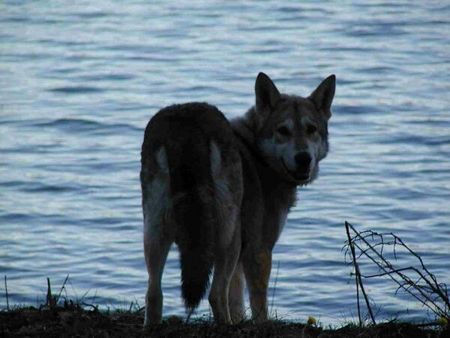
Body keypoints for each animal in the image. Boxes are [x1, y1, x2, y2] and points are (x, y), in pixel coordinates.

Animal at [140, 72, 334, 326]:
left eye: (311, 129)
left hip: (156, 230)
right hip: (227, 236)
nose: (304, 159)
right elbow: (258, 307)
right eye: (283, 130)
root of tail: (186, 123)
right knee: (214, 295)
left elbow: (237, 302)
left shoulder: (240, 261)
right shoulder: (258, 250)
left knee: (154, 295)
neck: (259, 156)